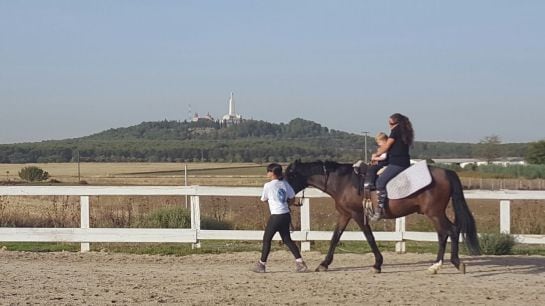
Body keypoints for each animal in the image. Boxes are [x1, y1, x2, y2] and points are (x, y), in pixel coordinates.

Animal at [284, 159, 480, 274]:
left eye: (289, 175)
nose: (287, 197)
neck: (343, 181)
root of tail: (446, 172)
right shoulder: (345, 214)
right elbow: (335, 238)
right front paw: (324, 264)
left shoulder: (358, 215)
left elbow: (369, 237)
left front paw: (378, 264)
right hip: (435, 214)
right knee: (444, 233)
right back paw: (439, 264)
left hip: (435, 213)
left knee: (451, 231)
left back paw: (450, 263)